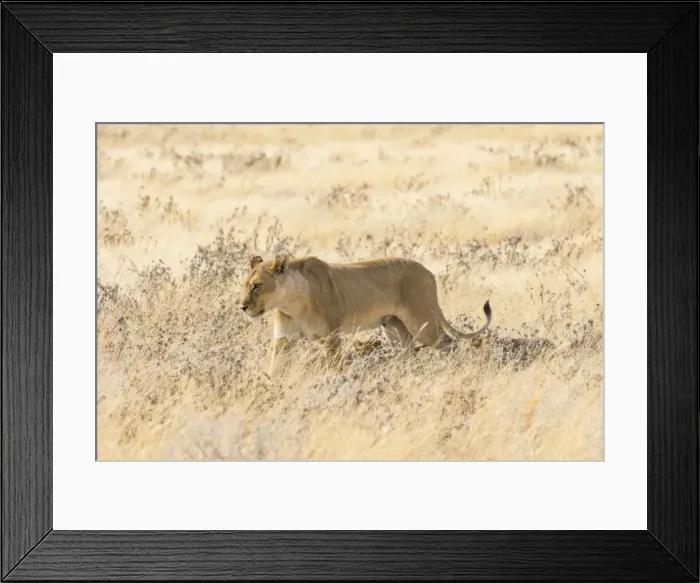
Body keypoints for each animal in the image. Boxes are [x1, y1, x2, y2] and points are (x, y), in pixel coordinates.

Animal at [239, 253, 492, 375]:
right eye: (245, 285)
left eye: (257, 286)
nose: (242, 307)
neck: (290, 302)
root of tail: (428, 271)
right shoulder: (283, 340)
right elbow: (275, 367)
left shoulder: (330, 338)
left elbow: (335, 367)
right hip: (394, 328)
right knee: (409, 352)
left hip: (423, 323)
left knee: (449, 344)